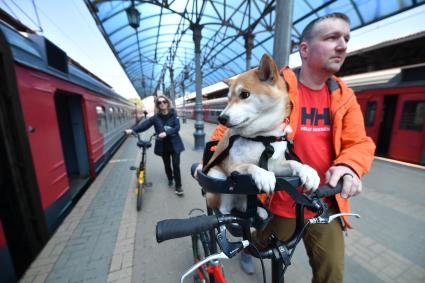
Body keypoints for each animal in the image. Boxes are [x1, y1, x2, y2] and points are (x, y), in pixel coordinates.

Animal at [205, 53, 318, 219]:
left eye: (244, 94)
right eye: (228, 99)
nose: (221, 118)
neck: (262, 138)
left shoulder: (276, 165)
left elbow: (293, 163)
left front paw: (307, 171)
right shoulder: (234, 167)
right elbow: (250, 165)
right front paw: (263, 174)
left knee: (245, 206)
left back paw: (259, 211)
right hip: (218, 179)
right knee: (224, 208)